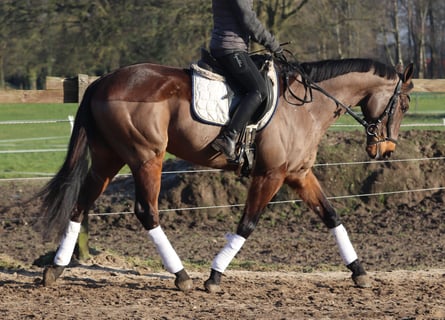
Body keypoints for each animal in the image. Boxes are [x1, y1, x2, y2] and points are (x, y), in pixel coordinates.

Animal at [37, 55, 412, 292]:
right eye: (405, 105)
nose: (386, 151)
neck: (305, 108)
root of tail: (101, 82)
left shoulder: (299, 174)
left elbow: (332, 217)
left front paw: (359, 272)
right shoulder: (270, 175)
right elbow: (247, 224)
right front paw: (214, 276)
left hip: (108, 159)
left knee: (80, 205)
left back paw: (55, 268)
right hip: (146, 158)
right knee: (146, 211)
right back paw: (181, 275)